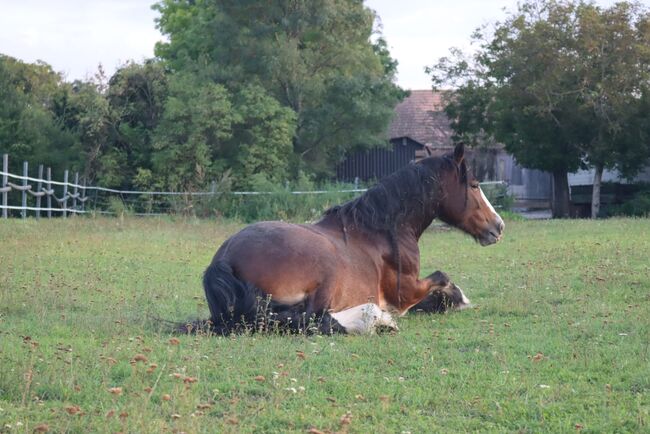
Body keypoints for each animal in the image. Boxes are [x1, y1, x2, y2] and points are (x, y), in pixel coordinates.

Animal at [197, 144, 502, 334]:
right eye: (474, 185)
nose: (498, 226)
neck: (382, 230)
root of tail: (223, 259)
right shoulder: (405, 293)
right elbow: (442, 276)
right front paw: (459, 298)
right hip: (325, 273)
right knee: (311, 319)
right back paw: (373, 321)